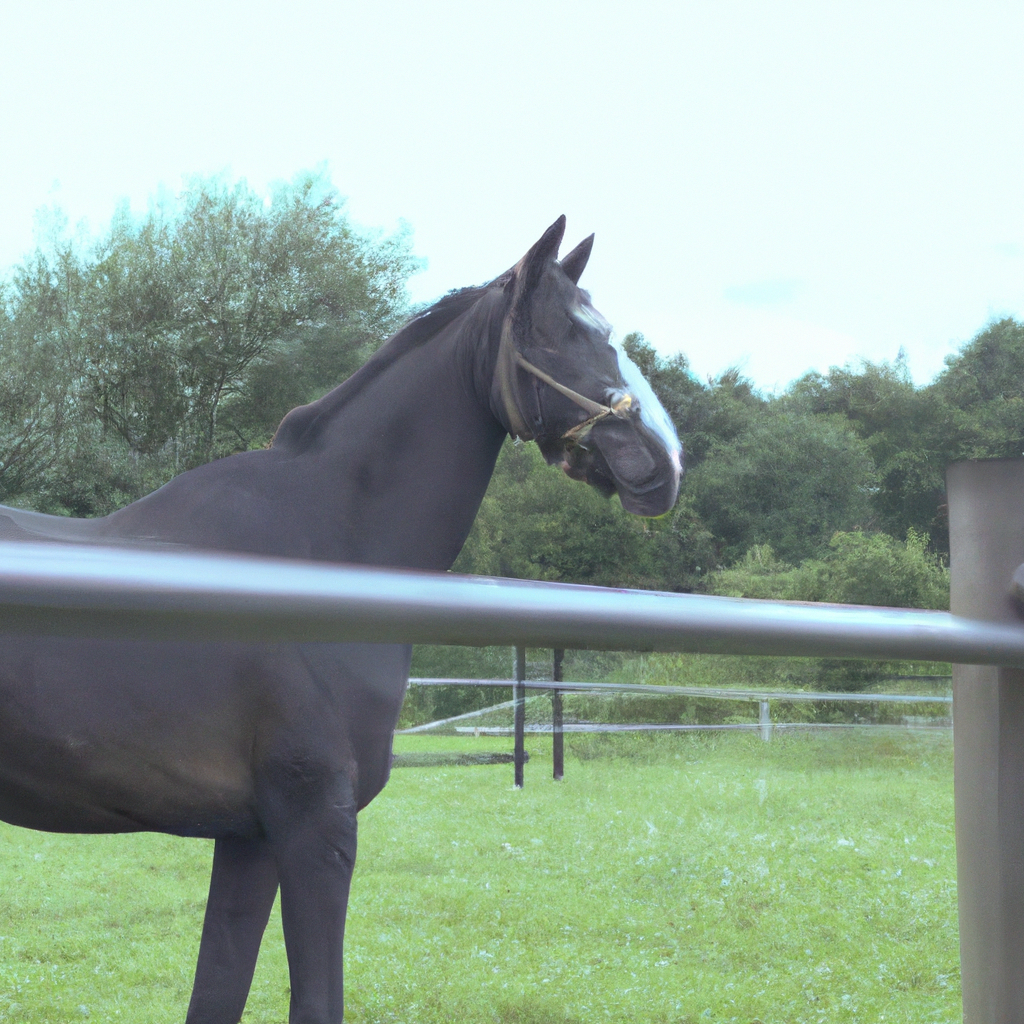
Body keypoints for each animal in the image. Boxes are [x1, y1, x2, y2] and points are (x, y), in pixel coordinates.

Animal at [0, 214, 684, 1015]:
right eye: (559, 335)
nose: (662, 462)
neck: (323, 542)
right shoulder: (316, 828)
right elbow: (316, 999)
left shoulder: (251, 838)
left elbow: (218, 992)